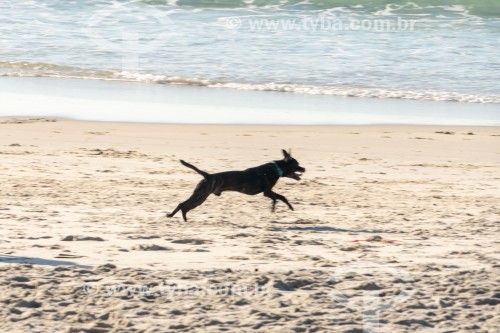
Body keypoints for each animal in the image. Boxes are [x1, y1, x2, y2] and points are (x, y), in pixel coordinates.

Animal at [167, 148, 304, 220]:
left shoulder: (267, 192)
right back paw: (180, 217)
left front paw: (284, 208)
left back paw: (177, 217)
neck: (276, 168)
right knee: (183, 205)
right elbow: (279, 197)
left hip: (200, 195)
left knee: (184, 205)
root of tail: (208, 175)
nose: (304, 169)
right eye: (296, 164)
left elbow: (280, 198)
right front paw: (277, 208)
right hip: (200, 196)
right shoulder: (267, 192)